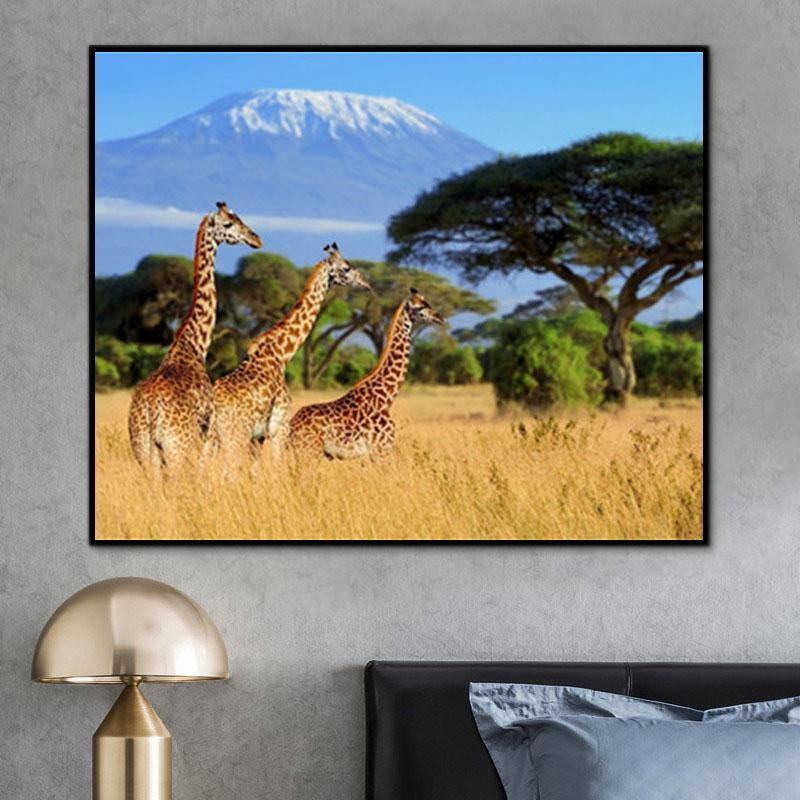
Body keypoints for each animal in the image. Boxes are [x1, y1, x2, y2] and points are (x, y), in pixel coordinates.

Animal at [127, 202, 262, 473]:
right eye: (228, 223)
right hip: (180, 449)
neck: (194, 344)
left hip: (144, 453)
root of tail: (150, 412)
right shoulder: (207, 433)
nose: (256, 239)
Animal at [289, 288, 443, 460]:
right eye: (420, 307)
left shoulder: (368, 456)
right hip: (309, 452)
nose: (439, 317)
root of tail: (291, 427)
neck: (387, 397)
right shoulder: (381, 450)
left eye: (427, 303)